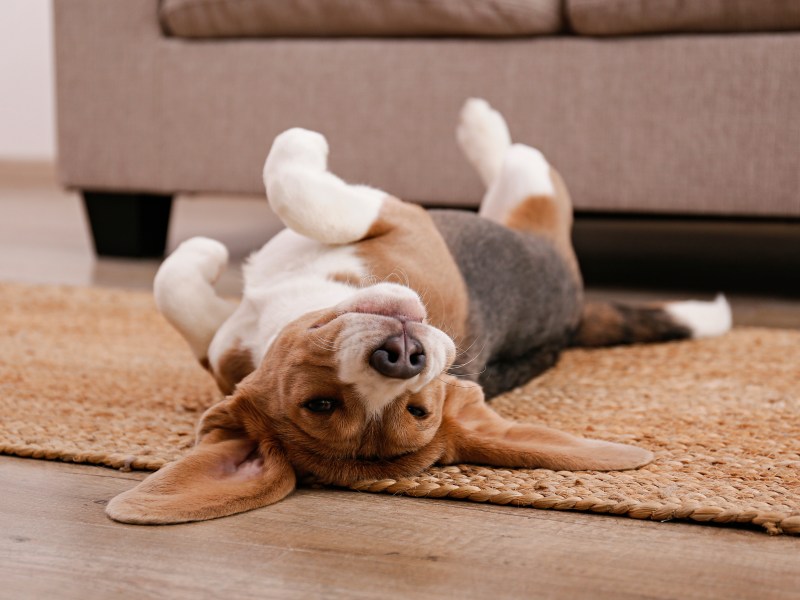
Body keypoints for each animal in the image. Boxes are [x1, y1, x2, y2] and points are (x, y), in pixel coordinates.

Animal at [106, 101, 732, 524]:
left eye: (418, 409)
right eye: (321, 405)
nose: (403, 356)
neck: (297, 306)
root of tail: (572, 317)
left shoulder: (402, 217)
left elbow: (293, 190)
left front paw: (295, 152)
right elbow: (176, 290)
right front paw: (206, 259)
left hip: (531, 203)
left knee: (521, 157)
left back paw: (480, 124)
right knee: (519, 160)